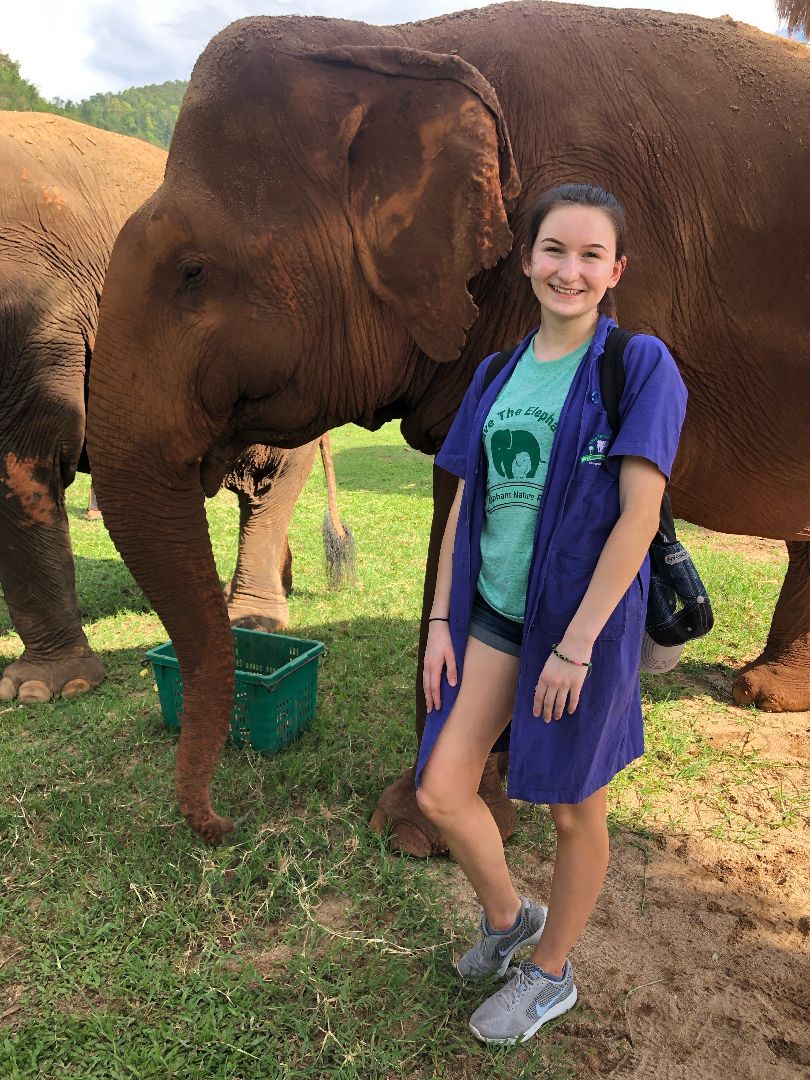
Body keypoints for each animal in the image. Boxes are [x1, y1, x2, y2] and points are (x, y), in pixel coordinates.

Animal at [85, 6, 807, 851]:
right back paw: (770, 690)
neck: (405, 41)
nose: (222, 823)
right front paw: (430, 818)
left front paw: (425, 830)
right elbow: (461, 504)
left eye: (193, 272)